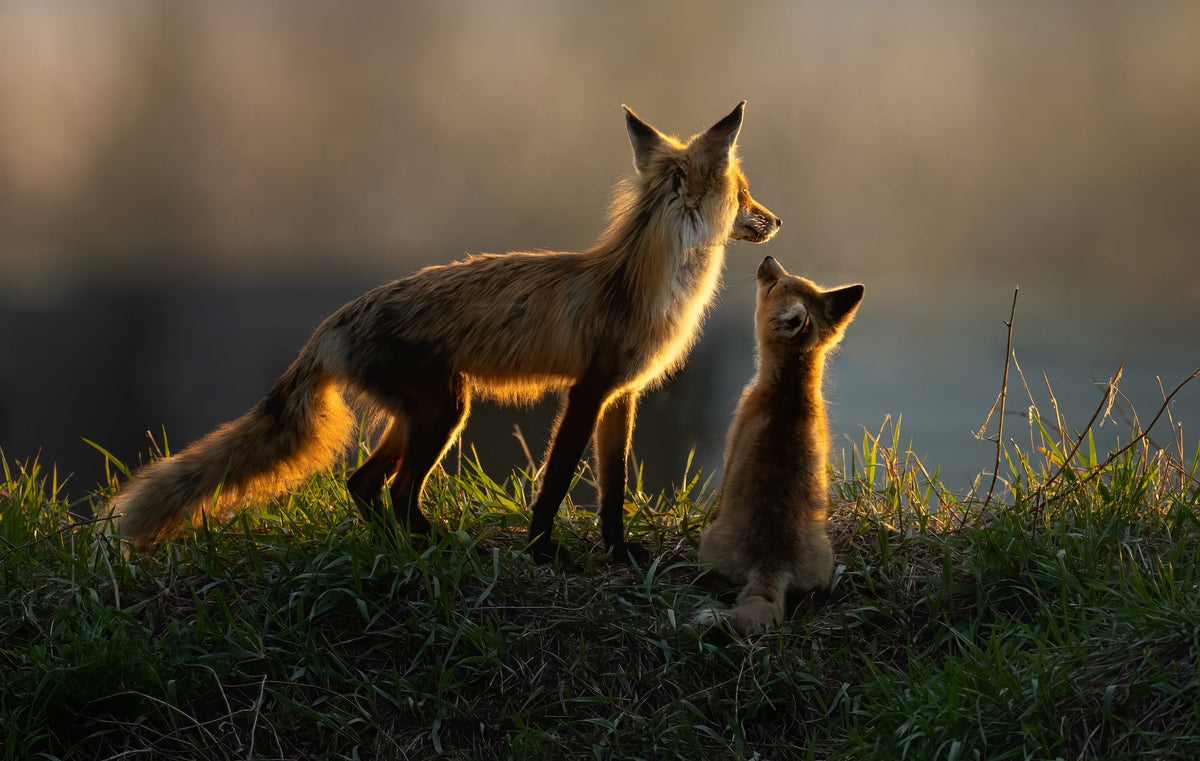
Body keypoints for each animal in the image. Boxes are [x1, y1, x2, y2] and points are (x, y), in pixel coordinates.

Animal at [108, 102, 781, 564]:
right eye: (745, 195)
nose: (776, 221)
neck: (644, 283)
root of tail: (332, 322)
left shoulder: (623, 395)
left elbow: (612, 488)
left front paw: (617, 552)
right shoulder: (588, 392)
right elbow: (557, 479)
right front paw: (542, 550)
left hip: (418, 415)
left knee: (364, 484)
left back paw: (401, 546)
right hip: (444, 409)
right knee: (400, 489)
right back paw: (436, 545)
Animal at [696, 256, 863, 635]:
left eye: (773, 286)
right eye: (781, 278)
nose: (767, 259)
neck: (791, 392)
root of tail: (772, 562)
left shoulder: (732, 446)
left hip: (709, 544)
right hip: (824, 557)